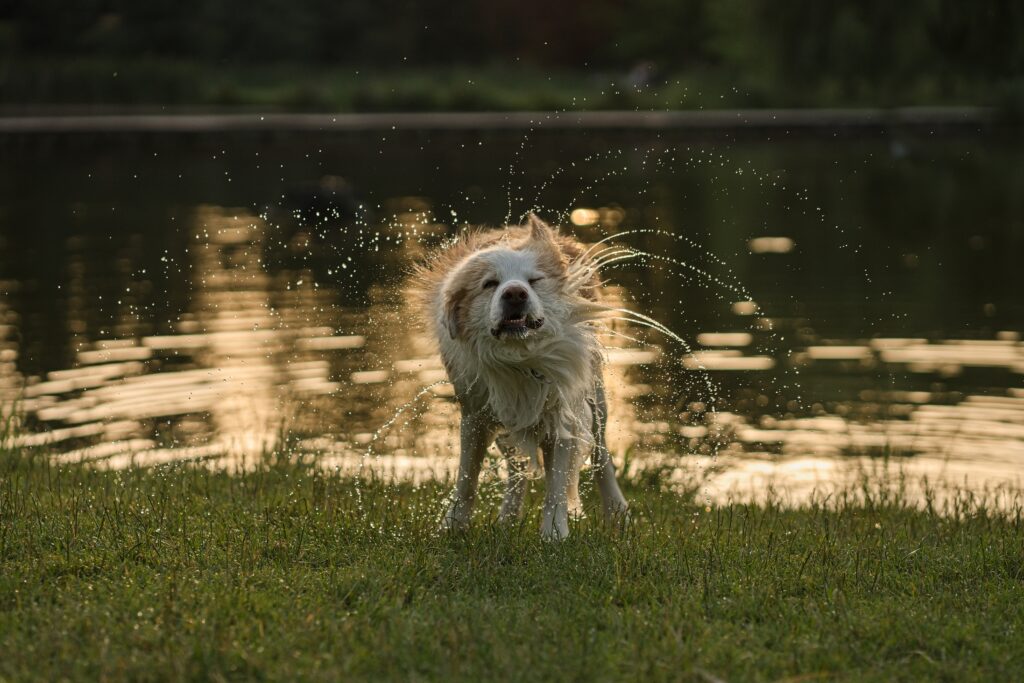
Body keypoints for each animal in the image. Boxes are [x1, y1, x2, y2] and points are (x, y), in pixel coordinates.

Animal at [411, 214, 626, 540]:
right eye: (490, 284)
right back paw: (508, 517)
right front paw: (453, 525)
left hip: (597, 399)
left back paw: (616, 510)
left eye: (534, 281)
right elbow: (467, 479)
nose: (515, 293)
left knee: (602, 457)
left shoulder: (564, 414)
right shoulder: (475, 414)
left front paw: (554, 533)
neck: (520, 358)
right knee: (517, 467)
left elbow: (557, 485)